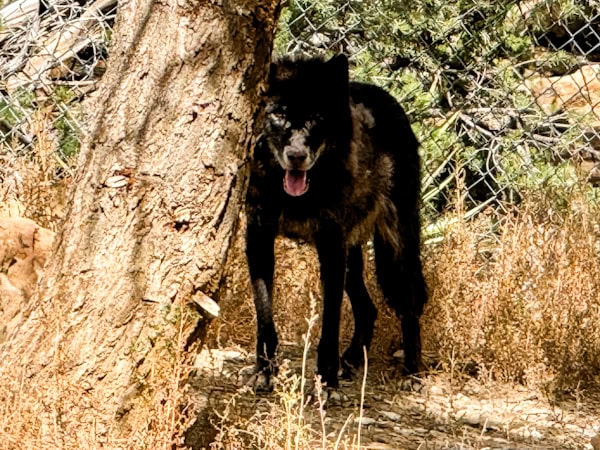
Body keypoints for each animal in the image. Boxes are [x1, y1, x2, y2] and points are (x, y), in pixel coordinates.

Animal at [246, 53, 428, 390]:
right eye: (278, 114)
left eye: (316, 118)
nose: (296, 155)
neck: (296, 198)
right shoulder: (258, 239)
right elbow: (264, 313)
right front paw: (264, 371)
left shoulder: (330, 247)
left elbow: (330, 324)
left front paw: (327, 383)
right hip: (352, 255)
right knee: (369, 310)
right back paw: (351, 361)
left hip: (396, 244)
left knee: (410, 302)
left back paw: (412, 370)